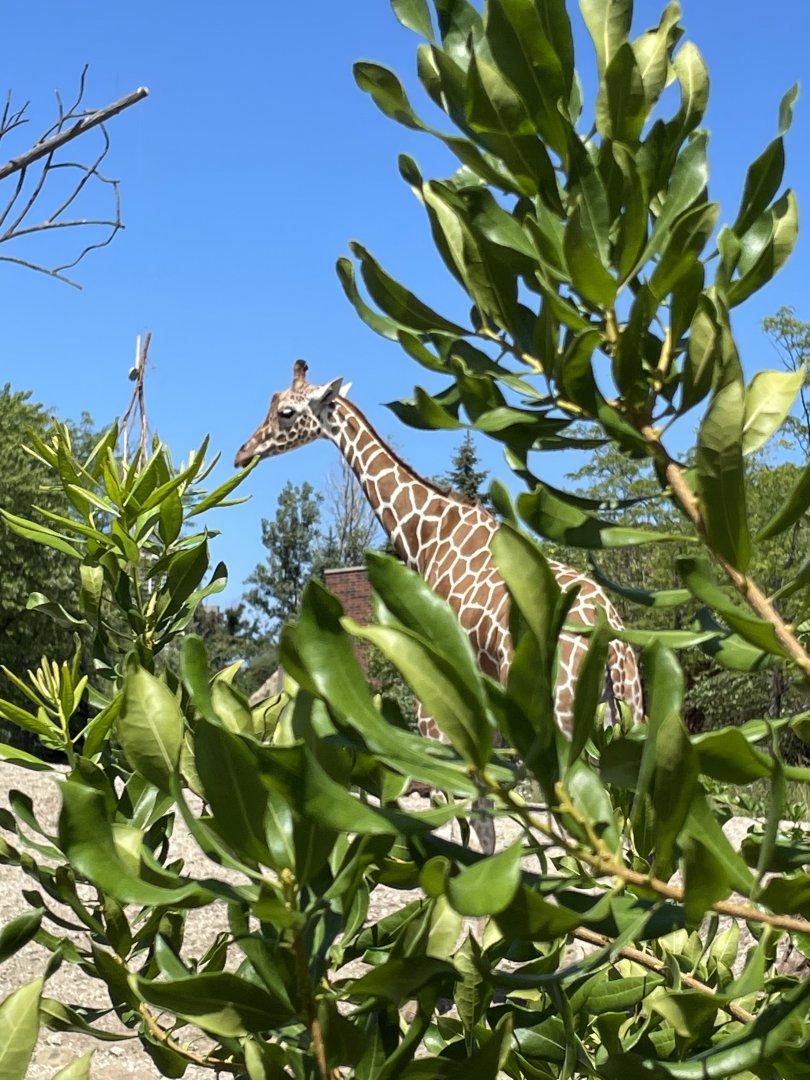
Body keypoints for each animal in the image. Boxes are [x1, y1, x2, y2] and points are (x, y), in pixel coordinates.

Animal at [235, 361, 645, 741]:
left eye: (286, 411)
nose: (242, 453)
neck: (427, 532)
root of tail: (611, 645)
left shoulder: (437, 702)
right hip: (628, 711)